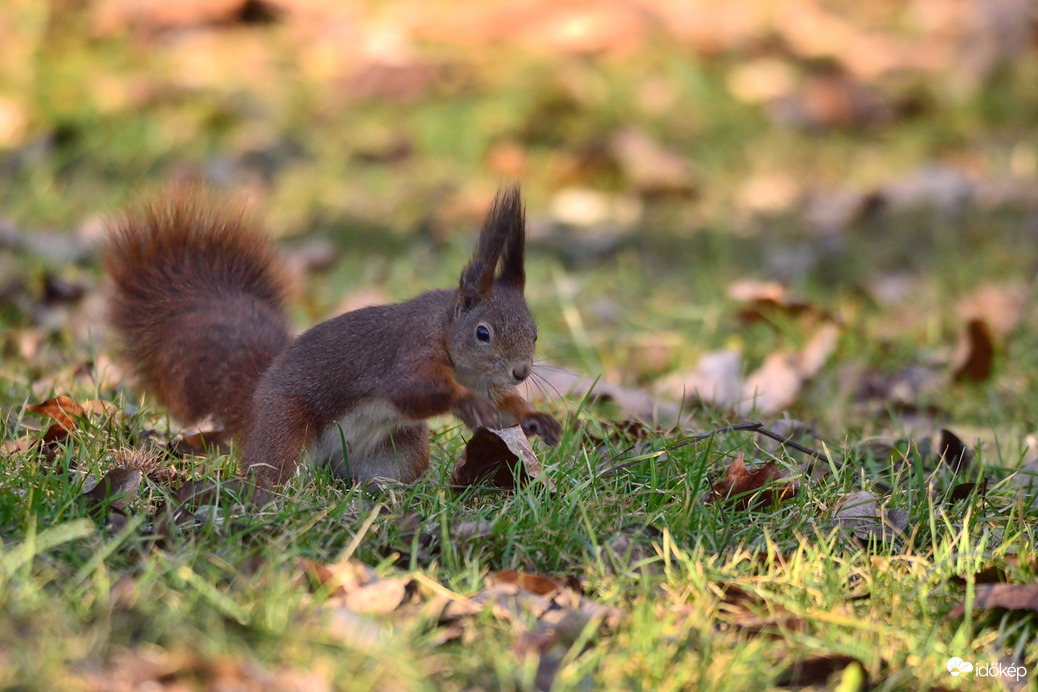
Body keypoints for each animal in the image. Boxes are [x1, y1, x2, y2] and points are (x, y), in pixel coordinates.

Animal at [104, 183, 560, 487]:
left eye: (535, 333)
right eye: (483, 333)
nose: (521, 372)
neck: (448, 333)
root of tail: (252, 401)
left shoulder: (486, 383)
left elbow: (505, 408)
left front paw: (537, 418)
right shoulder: (411, 351)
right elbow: (412, 390)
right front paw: (466, 404)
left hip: (400, 451)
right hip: (284, 426)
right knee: (274, 469)